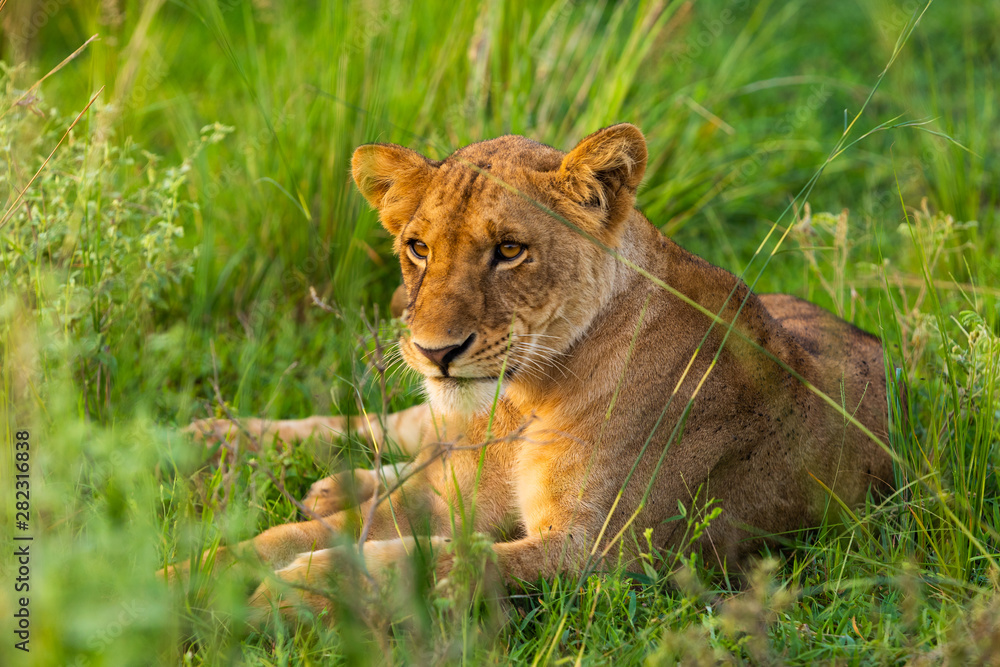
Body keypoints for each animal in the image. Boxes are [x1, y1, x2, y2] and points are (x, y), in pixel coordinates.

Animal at [171, 124, 894, 625]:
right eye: (418, 247)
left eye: (510, 250)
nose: (435, 351)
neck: (525, 401)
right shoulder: (449, 499)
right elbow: (280, 538)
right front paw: (185, 573)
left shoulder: (610, 555)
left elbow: (441, 557)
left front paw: (302, 586)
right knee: (395, 428)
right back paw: (207, 439)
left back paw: (327, 484)